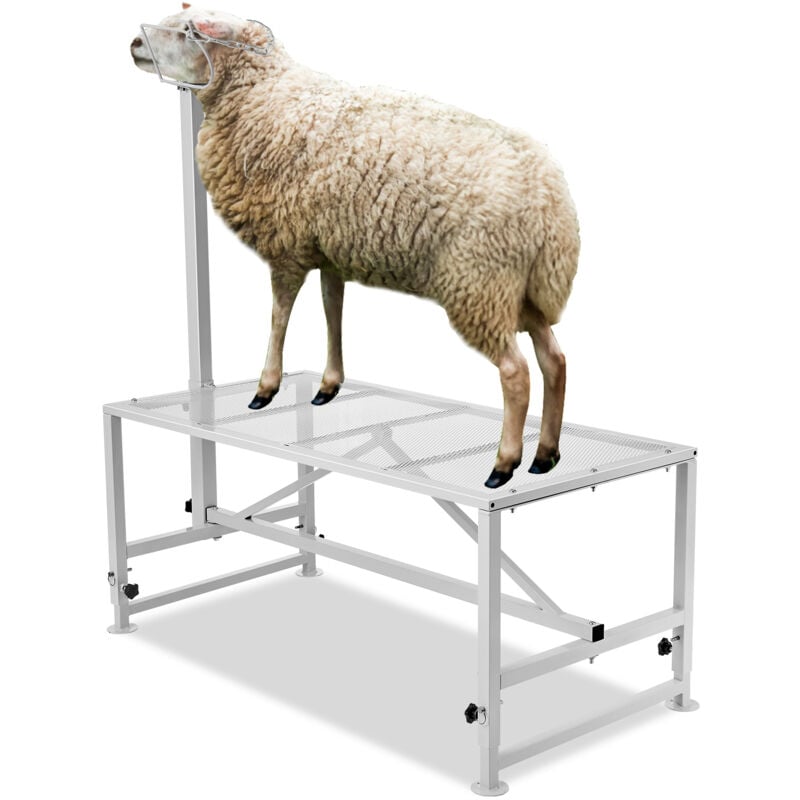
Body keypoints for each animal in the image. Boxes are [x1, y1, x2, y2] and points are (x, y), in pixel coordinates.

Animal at [131, 5, 580, 489]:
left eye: (189, 32)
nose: (134, 44)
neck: (264, 97)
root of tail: (550, 197)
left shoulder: (287, 244)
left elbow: (279, 316)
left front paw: (265, 387)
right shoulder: (330, 247)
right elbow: (333, 310)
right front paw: (329, 384)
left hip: (479, 282)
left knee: (516, 372)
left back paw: (504, 463)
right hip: (522, 289)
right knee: (555, 360)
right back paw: (546, 454)